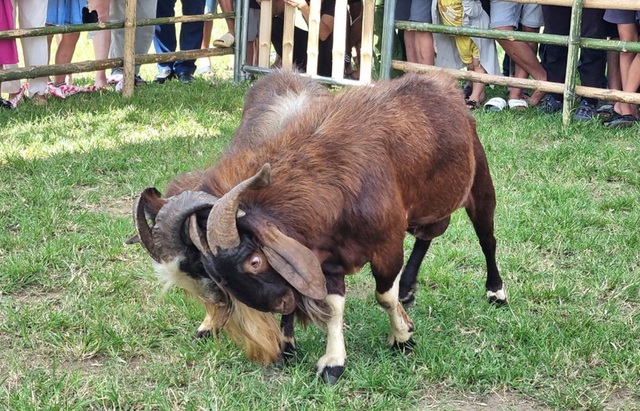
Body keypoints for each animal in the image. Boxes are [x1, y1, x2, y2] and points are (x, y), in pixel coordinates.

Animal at [132, 70, 508, 384]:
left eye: (254, 260)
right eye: (214, 276)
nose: (282, 304)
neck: (333, 189)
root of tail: (443, 83)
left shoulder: (386, 244)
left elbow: (382, 295)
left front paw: (402, 338)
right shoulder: (327, 258)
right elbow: (333, 306)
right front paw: (332, 362)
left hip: (480, 182)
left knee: (486, 237)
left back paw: (496, 292)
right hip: (426, 209)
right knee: (428, 235)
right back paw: (409, 288)